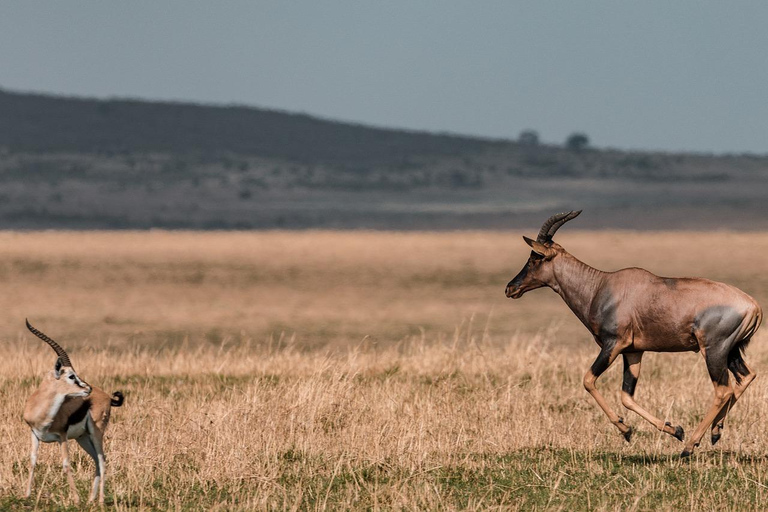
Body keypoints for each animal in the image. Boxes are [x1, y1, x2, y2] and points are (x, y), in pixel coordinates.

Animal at [22, 320, 124, 504]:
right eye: (71, 376)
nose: (88, 388)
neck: (42, 411)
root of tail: (107, 396)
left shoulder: (62, 436)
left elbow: (66, 463)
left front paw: (76, 499)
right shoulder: (34, 434)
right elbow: (32, 461)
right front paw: (26, 495)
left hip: (96, 433)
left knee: (102, 459)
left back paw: (100, 500)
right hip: (82, 438)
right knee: (96, 459)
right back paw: (91, 500)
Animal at [504, 210, 760, 458]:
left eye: (535, 258)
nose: (510, 288)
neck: (601, 286)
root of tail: (754, 305)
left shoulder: (613, 345)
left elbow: (588, 380)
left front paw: (626, 429)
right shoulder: (634, 351)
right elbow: (627, 396)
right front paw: (673, 429)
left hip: (714, 351)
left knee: (723, 390)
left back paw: (689, 447)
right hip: (730, 351)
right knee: (746, 377)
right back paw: (715, 431)